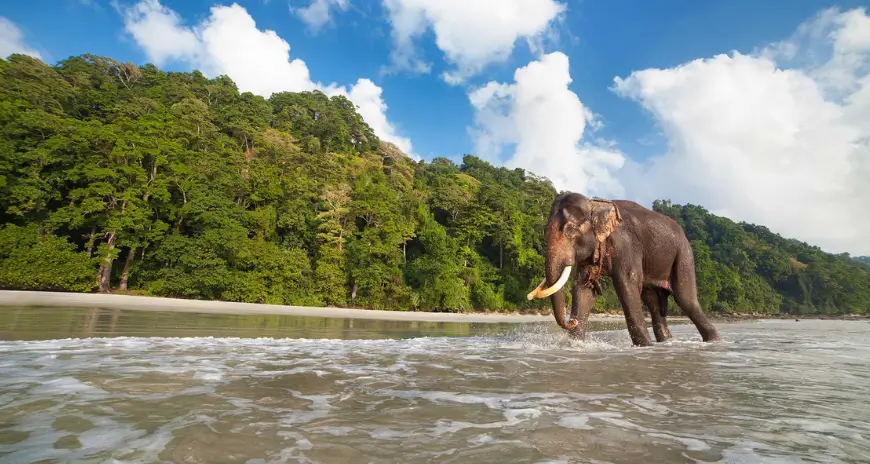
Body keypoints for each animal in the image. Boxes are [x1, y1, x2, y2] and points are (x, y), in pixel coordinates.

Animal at [526, 192, 721, 347]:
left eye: (571, 231)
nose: (571, 321)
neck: (595, 205)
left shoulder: (626, 244)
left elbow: (626, 284)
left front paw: (644, 346)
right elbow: (584, 288)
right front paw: (574, 344)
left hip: (684, 255)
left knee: (685, 299)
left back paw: (714, 341)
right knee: (653, 301)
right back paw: (667, 342)